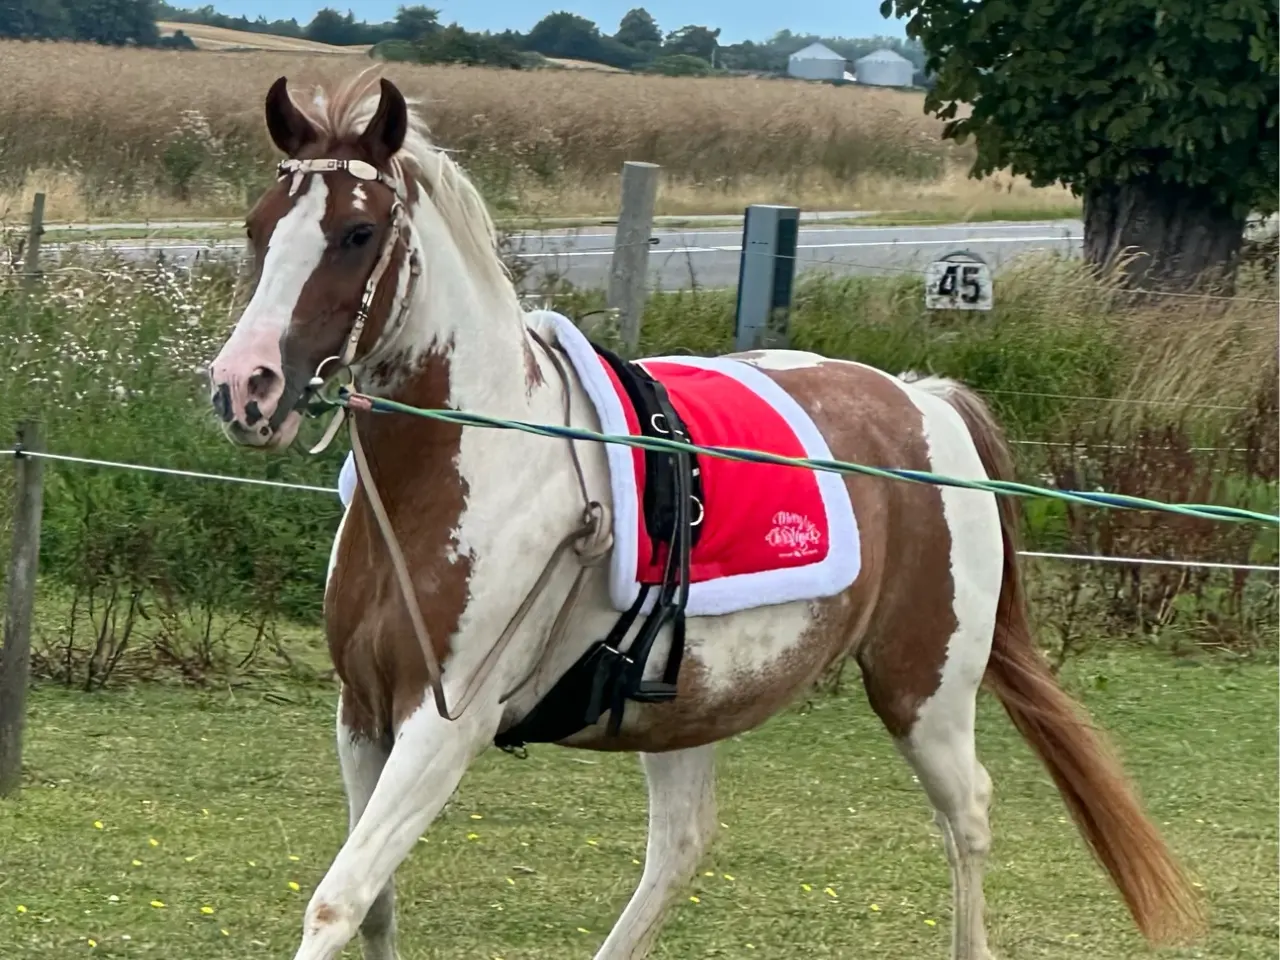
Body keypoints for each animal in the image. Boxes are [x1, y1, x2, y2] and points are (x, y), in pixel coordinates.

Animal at [206, 70, 1205, 960]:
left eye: (357, 231)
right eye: (259, 227)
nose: (244, 387)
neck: (470, 468)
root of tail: (924, 400)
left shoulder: (445, 724)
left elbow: (339, 901)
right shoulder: (362, 716)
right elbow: (373, 905)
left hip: (926, 692)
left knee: (967, 818)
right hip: (686, 707)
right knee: (681, 850)